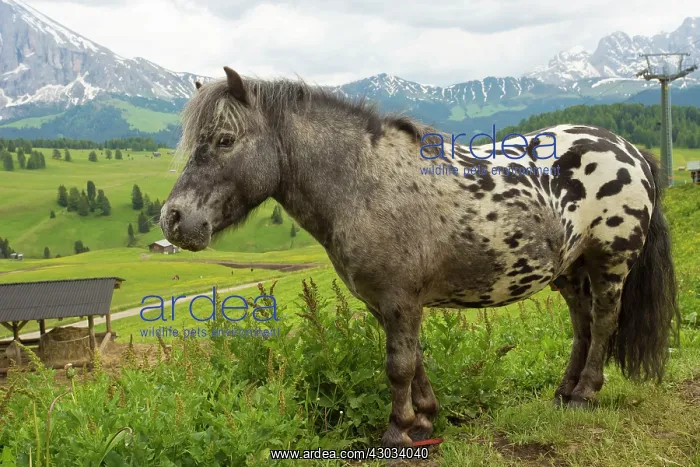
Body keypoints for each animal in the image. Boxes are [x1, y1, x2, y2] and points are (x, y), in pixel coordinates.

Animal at [161, 67, 680, 448]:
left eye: (225, 139)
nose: (173, 219)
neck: (365, 183)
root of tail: (629, 150)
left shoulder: (399, 299)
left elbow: (398, 366)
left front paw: (397, 431)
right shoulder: (390, 303)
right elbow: (414, 359)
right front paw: (425, 420)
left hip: (610, 263)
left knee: (605, 323)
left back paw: (585, 395)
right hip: (570, 272)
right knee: (583, 325)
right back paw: (563, 392)